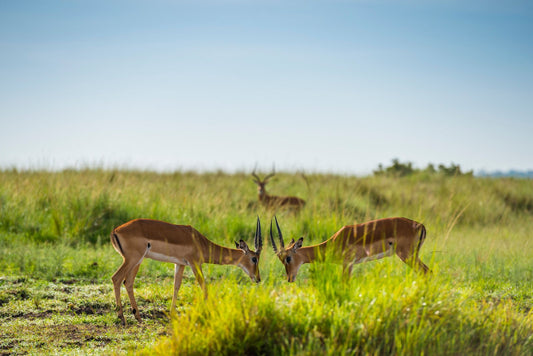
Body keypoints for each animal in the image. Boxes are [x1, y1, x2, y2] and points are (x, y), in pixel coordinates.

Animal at [111, 217, 262, 326]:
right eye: (254, 258)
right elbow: (204, 286)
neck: (201, 242)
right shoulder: (195, 264)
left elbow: (176, 286)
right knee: (116, 278)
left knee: (128, 282)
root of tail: (115, 231)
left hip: (137, 261)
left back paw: (138, 317)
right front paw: (211, 312)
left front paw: (172, 314)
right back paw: (122, 318)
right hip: (132, 259)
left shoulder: (180, 264)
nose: (258, 278)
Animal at [270, 216, 428, 282]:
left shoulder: (348, 264)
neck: (333, 242)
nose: (290, 278)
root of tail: (420, 225)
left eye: (288, 258)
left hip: (408, 256)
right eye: (281, 260)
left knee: (427, 272)